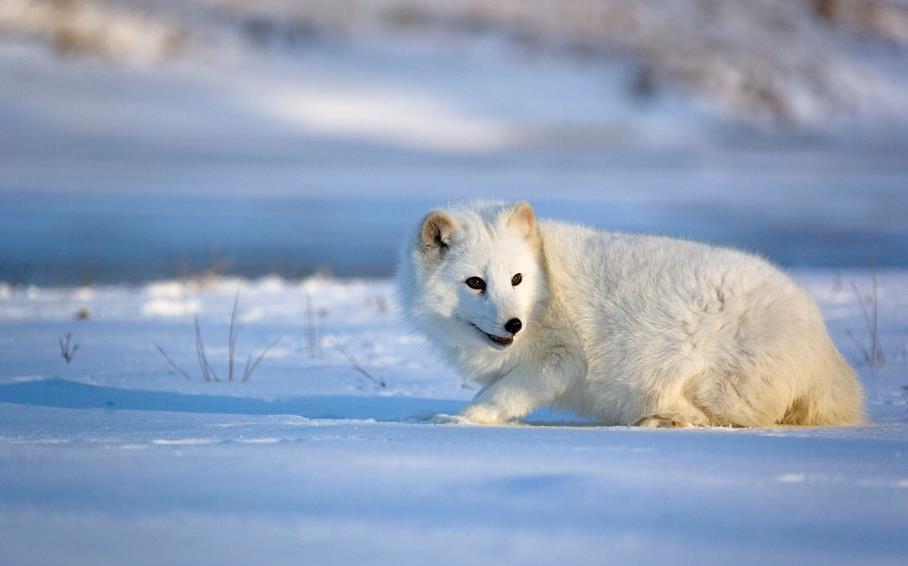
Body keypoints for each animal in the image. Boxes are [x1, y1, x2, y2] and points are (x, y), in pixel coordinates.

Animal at [398, 202, 864, 428]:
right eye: (475, 283)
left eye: (516, 278)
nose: (515, 323)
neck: (545, 288)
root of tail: (825, 347)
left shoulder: (560, 359)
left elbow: (499, 395)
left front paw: (458, 419)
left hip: (709, 375)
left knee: (735, 418)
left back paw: (660, 419)